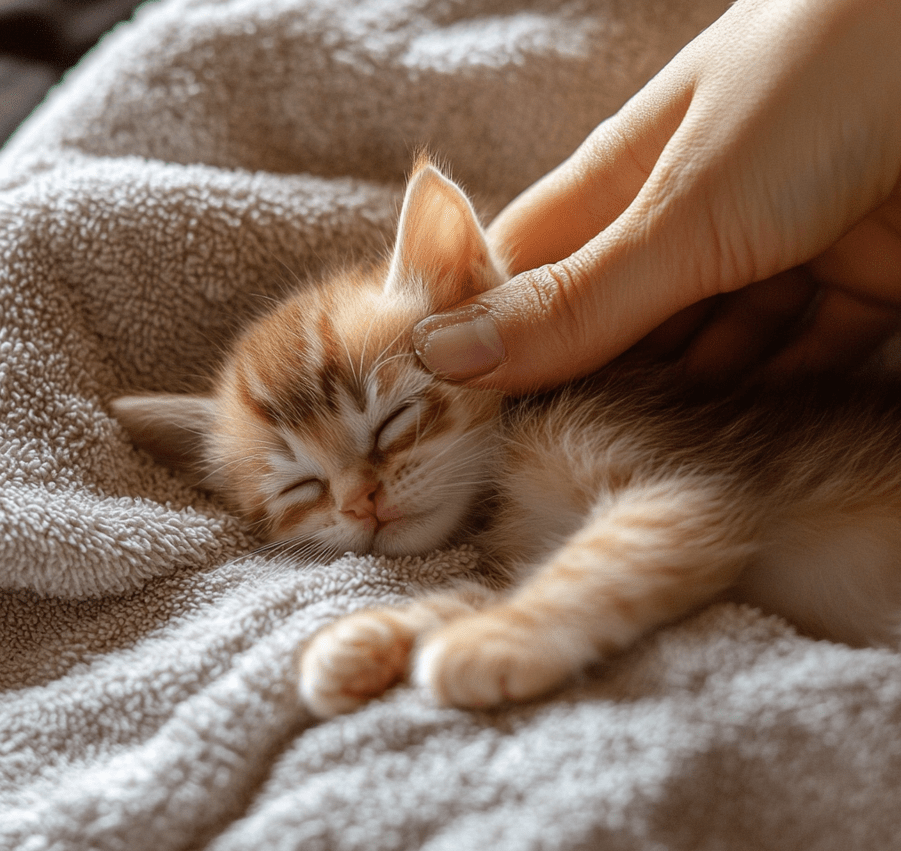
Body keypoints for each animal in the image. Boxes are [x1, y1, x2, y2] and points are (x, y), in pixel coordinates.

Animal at [114, 160, 901, 720]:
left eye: (393, 419)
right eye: (300, 487)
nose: (361, 502)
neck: (510, 463)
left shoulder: (684, 482)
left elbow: (597, 565)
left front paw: (495, 640)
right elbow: (498, 583)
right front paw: (371, 637)